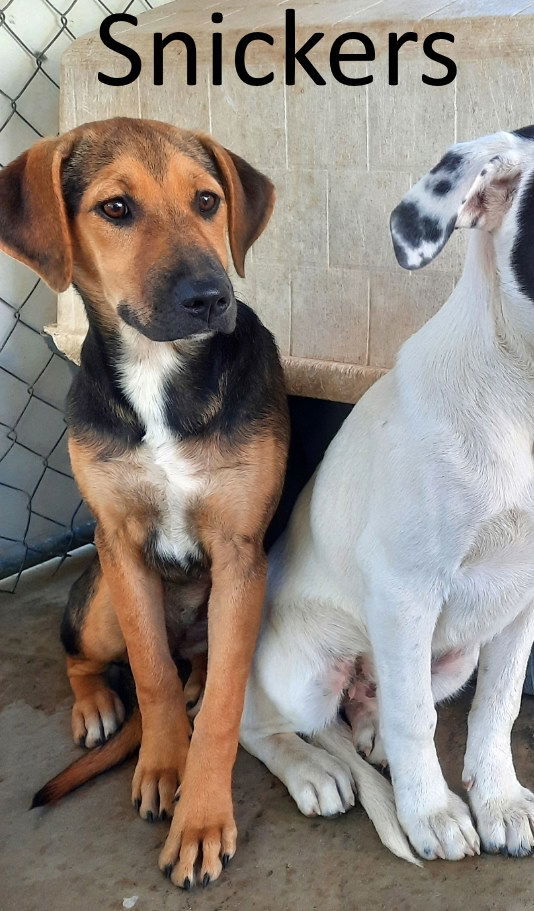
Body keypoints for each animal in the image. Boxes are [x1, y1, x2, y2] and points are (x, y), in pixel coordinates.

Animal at [0, 119, 288, 892]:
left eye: (208, 201)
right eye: (116, 209)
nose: (210, 297)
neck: (161, 373)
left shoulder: (240, 554)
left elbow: (222, 702)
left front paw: (202, 818)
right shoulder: (119, 543)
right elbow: (151, 672)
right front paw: (163, 765)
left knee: (202, 670)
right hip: (101, 597)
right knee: (92, 654)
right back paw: (99, 705)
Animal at [241, 126, 534, 864]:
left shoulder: (523, 598)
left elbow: (499, 705)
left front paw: (498, 799)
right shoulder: (406, 586)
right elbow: (416, 720)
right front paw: (429, 812)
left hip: (450, 657)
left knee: (372, 706)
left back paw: (365, 736)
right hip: (303, 668)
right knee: (264, 724)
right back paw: (313, 769)